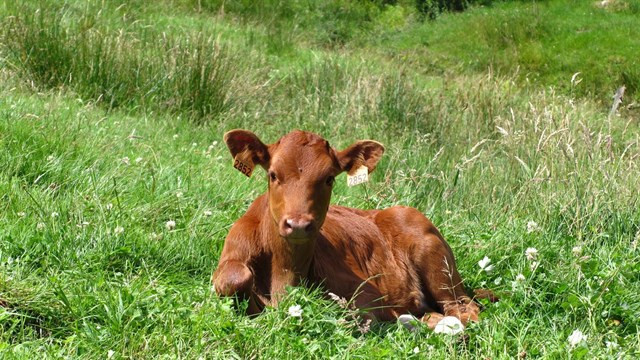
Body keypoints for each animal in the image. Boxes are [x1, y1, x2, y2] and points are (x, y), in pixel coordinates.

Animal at [212, 130, 482, 330]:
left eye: (329, 178)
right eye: (273, 174)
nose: (298, 224)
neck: (284, 272)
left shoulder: (364, 295)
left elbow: (359, 315)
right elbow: (234, 277)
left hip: (436, 261)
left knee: (464, 308)